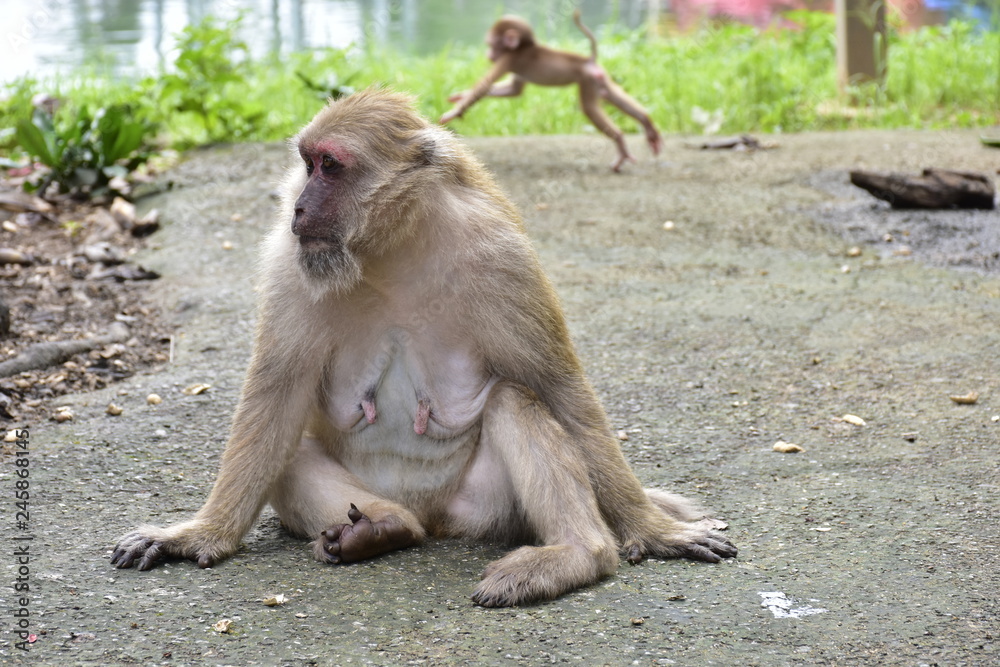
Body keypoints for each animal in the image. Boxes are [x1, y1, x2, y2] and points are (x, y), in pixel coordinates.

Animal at [111, 89, 735, 607]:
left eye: (330, 165)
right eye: (307, 163)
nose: (297, 208)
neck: (393, 253)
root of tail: (434, 518)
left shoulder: (502, 261)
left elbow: (563, 392)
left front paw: (651, 528)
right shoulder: (291, 266)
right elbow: (275, 400)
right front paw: (200, 534)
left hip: (488, 508)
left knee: (515, 400)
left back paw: (579, 555)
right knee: (290, 452)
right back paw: (386, 529)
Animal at [440, 11, 663, 172]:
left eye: (492, 45)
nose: (488, 54)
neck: (523, 46)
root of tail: (587, 60)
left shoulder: (509, 58)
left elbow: (486, 85)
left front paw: (455, 110)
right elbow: (514, 90)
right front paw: (459, 97)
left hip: (587, 80)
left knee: (589, 108)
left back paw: (620, 141)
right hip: (599, 78)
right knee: (614, 97)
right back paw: (647, 124)